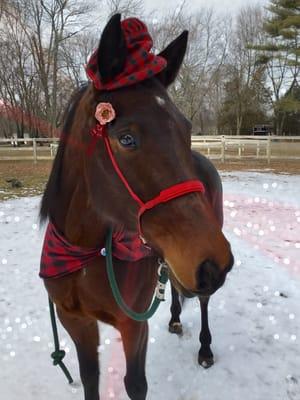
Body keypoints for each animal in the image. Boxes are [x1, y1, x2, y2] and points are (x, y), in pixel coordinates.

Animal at [38, 13, 234, 400]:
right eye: (126, 138)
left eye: (186, 130)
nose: (214, 262)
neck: (85, 252)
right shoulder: (76, 322)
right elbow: (90, 378)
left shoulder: (133, 325)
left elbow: (135, 385)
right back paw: (174, 318)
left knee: (203, 301)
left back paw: (205, 348)